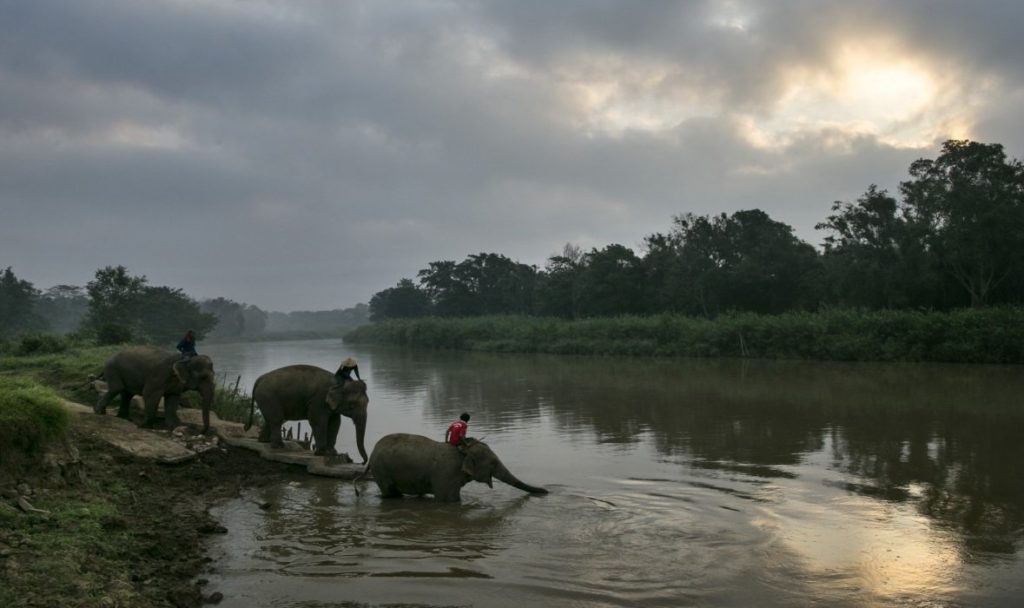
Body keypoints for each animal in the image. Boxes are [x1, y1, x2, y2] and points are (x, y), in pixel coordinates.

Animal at [354, 429, 548, 501]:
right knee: (391, 493)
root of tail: (371, 455)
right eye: (493, 463)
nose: (546, 491)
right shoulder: (445, 475)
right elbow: (449, 499)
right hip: (382, 469)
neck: (463, 451)